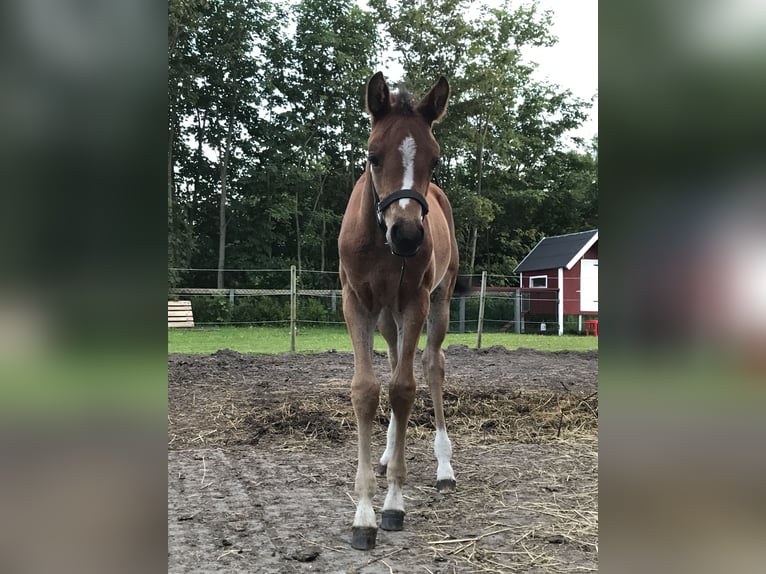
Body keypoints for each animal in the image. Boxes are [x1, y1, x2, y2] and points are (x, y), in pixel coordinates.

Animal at [340, 73, 460, 552]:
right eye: (373, 155)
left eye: (435, 159)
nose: (407, 235)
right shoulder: (356, 301)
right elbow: (367, 390)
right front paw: (363, 515)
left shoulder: (415, 301)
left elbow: (405, 389)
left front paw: (392, 504)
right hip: (386, 317)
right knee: (393, 361)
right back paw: (389, 448)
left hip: (438, 301)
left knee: (430, 365)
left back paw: (444, 467)